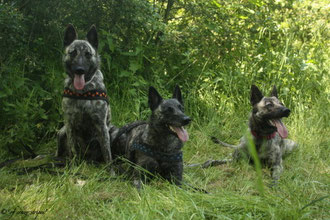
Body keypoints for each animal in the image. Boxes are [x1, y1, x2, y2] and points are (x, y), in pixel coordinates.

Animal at [56, 24, 112, 164]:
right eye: (73, 53)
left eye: (87, 54)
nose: (79, 70)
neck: (83, 92)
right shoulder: (70, 124)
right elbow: (73, 149)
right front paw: (75, 165)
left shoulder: (101, 125)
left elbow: (107, 153)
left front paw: (110, 169)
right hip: (61, 132)